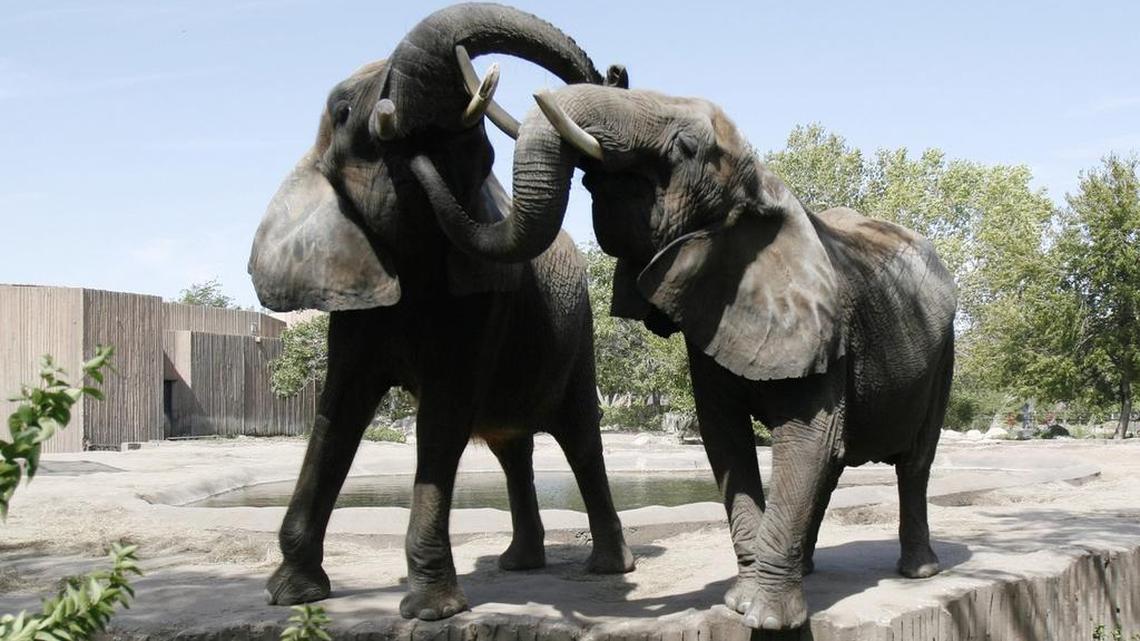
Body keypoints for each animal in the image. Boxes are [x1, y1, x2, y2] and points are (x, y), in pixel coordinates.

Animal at [247, 5, 634, 621]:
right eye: (342, 111)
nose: (618, 74)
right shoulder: (355, 299)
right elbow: (338, 412)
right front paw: (290, 595)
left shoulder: (483, 300)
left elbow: (442, 415)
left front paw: (433, 610)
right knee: (512, 446)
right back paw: (518, 564)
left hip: (580, 334)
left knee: (579, 437)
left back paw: (608, 567)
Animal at [415, 84, 958, 630]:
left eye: (687, 147)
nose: (418, 155)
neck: (763, 192)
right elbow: (727, 440)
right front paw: (739, 602)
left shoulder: (826, 329)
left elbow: (808, 437)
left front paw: (766, 619)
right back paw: (808, 568)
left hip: (944, 355)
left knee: (913, 461)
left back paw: (918, 571)